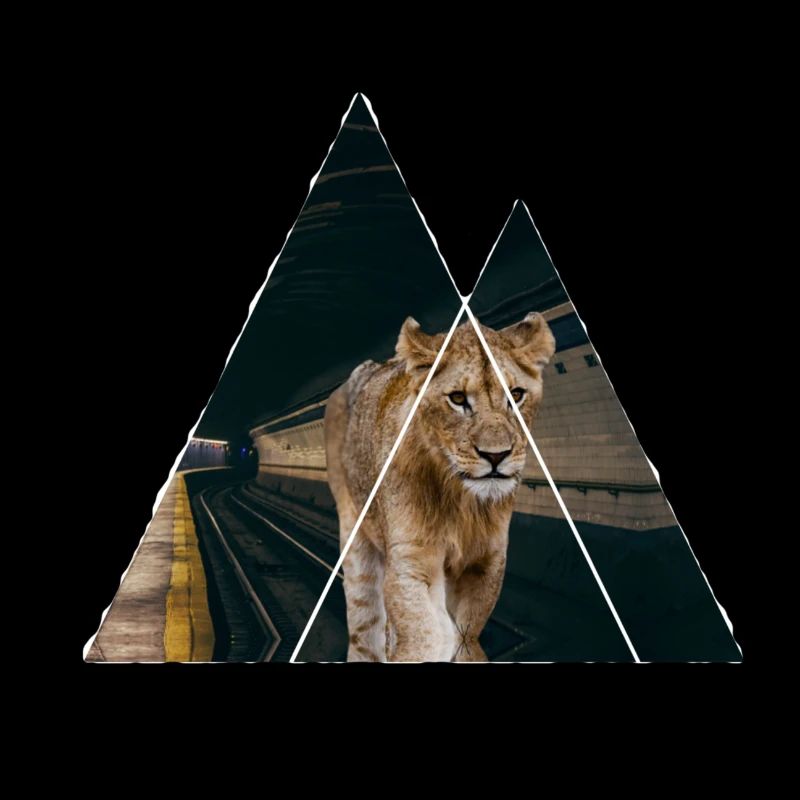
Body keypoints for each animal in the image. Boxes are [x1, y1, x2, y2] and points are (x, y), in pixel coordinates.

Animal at [324, 312, 556, 662]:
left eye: (516, 395)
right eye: (457, 399)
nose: (496, 456)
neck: (462, 501)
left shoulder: (486, 562)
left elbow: (465, 632)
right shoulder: (411, 559)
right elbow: (426, 632)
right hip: (355, 528)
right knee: (364, 615)